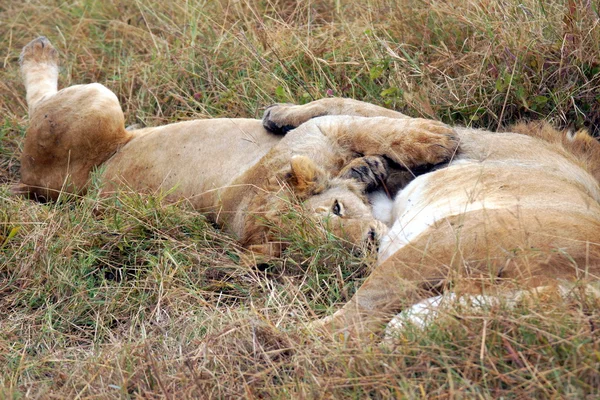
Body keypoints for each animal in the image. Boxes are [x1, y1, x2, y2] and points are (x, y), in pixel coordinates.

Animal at [264, 99, 600, 338]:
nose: (369, 243)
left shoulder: (461, 139)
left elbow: (356, 108)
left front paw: (279, 113)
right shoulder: (391, 208)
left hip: (442, 242)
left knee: (346, 327)